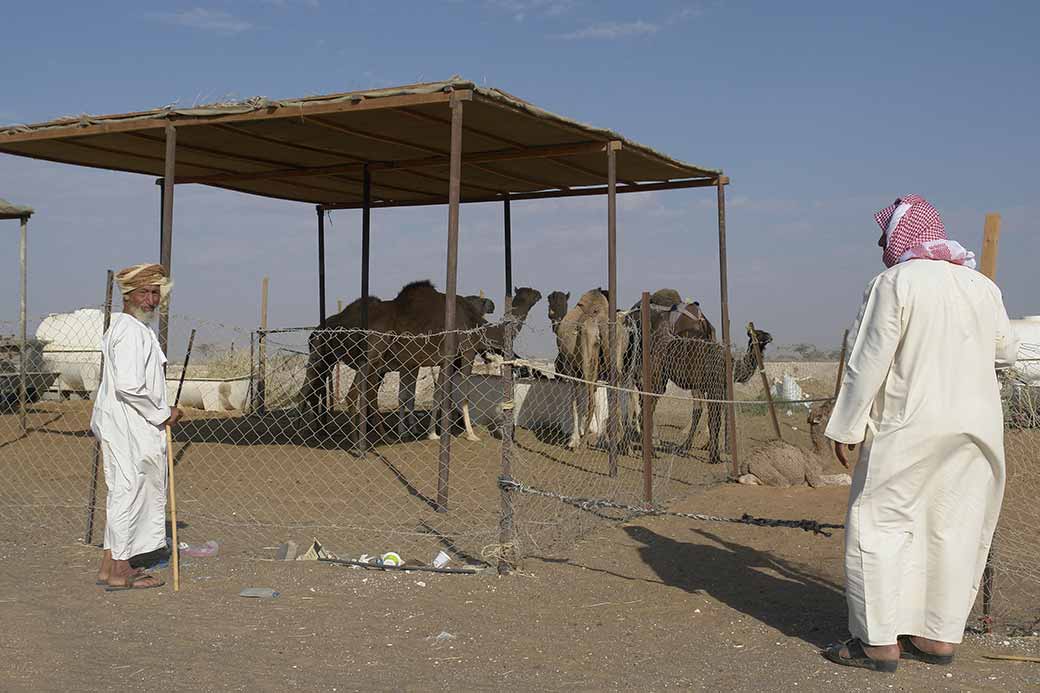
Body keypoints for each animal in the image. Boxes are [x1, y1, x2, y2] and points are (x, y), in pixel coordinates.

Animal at [648, 324, 773, 464]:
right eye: (757, 333)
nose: (770, 337)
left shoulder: (719, 390)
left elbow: (714, 419)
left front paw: (715, 454)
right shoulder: (714, 388)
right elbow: (714, 419)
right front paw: (713, 456)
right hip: (658, 374)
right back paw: (652, 450)